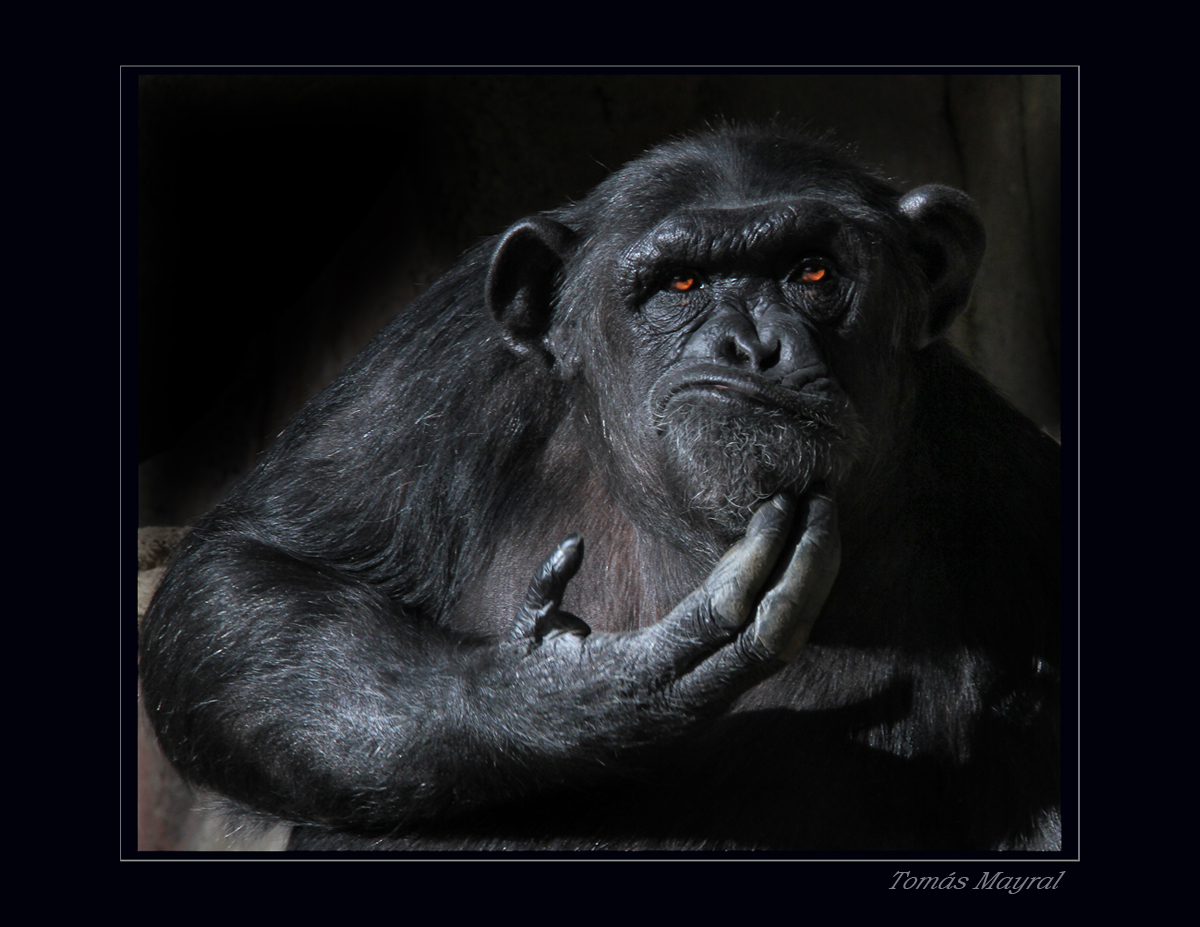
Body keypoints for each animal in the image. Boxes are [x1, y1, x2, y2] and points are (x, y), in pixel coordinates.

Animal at [140, 126, 1060, 850]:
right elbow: (254, 567)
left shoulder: (1022, 493)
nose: (749, 342)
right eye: (681, 284)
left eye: (812, 271)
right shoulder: (449, 352)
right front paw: (580, 690)